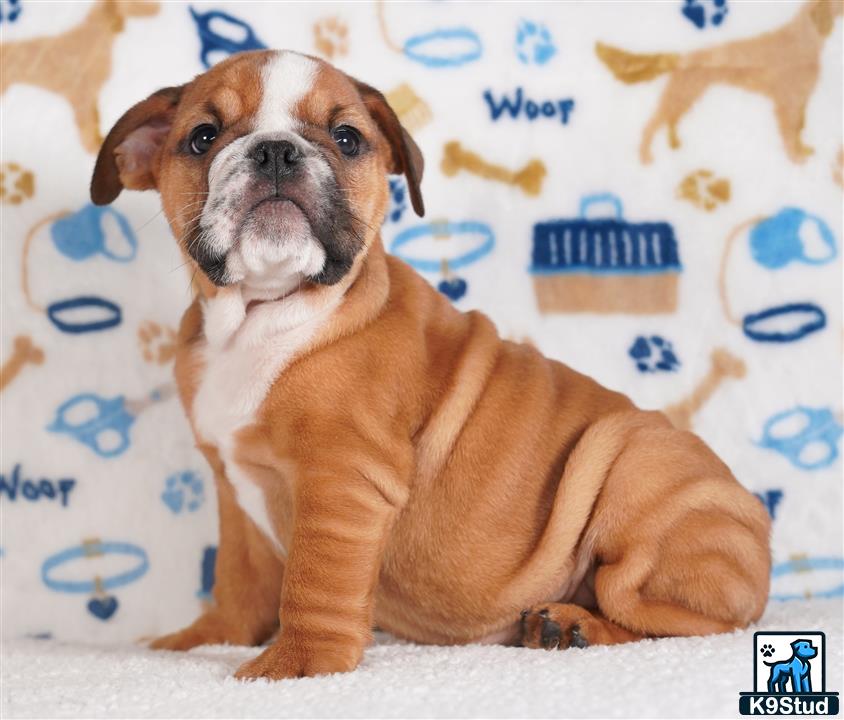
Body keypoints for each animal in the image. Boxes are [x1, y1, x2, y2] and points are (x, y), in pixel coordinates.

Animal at [92, 49, 772, 680]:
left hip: (636, 471)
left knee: (684, 620)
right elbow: (238, 576)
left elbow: (314, 581)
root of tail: (759, 532)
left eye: (347, 138)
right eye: (203, 137)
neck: (261, 313)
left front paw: (298, 665)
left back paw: (576, 625)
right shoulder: (234, 488)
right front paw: (205, 638)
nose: (277, 152)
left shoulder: (342, 479)